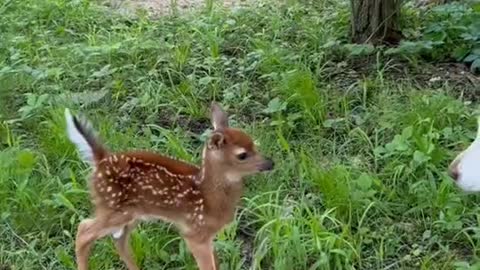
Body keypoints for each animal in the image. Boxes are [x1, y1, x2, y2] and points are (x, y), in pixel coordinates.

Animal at [64, 102, 274, 268]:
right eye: (242, 155)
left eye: (254, 144)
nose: (270, 163)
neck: (208, 197)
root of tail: (100, 160)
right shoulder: (195, 233)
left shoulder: (209, 235)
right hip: (112, 207)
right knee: (83, 230)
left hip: (131, 214)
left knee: (119, 240)